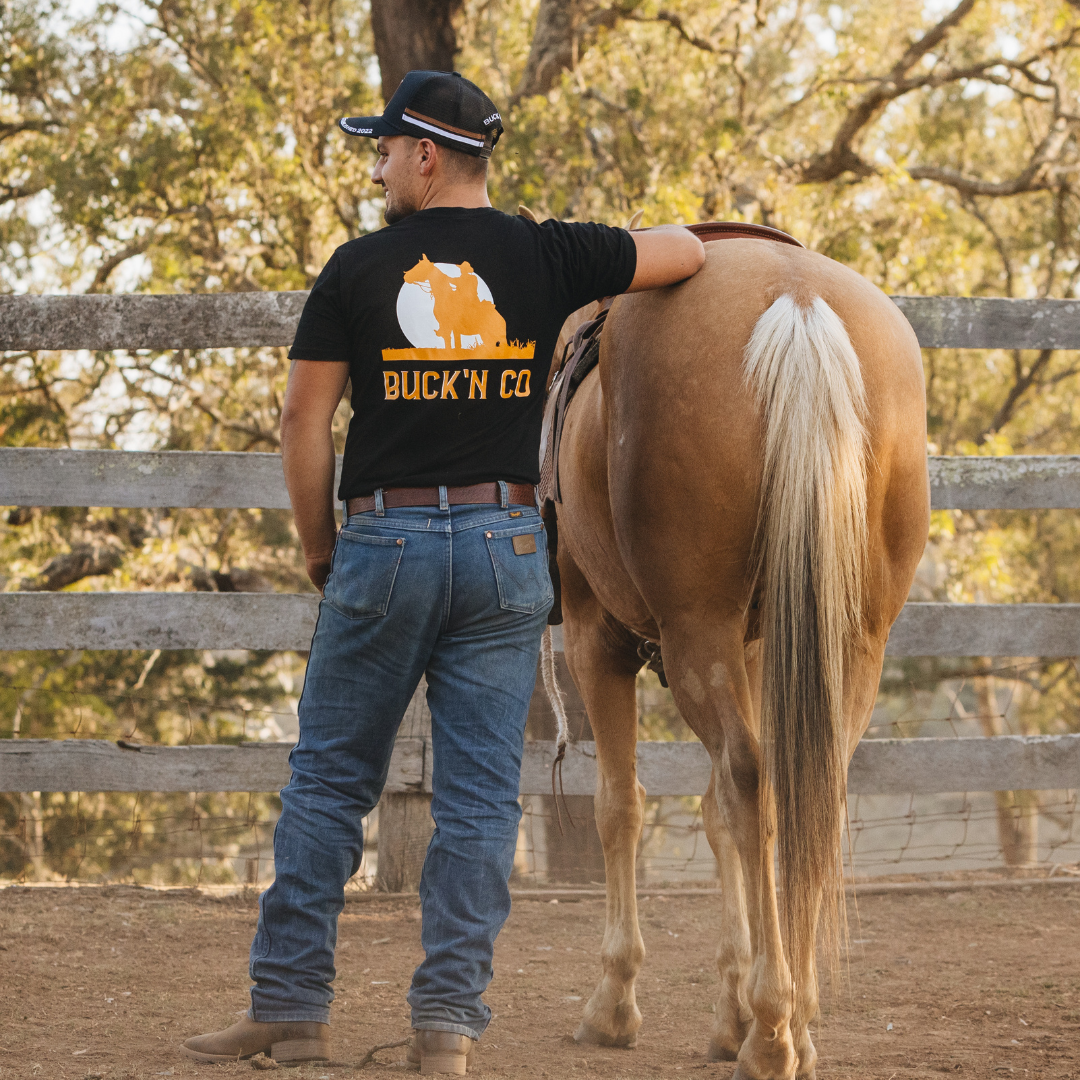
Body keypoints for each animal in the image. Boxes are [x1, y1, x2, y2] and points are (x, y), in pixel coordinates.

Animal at [548, 236, 928, 1080]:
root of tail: (797, 299)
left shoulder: (597, 639)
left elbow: (622, 805)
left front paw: (614, 1001)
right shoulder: (756, 652)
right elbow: (722, 819)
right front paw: (731, 1006)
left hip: (695, 637)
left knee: (751, 781)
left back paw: (773, 1031)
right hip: (848, 645)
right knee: (806, 789)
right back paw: (795, 1020)